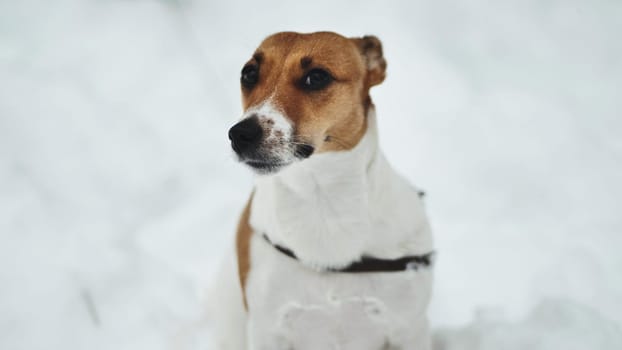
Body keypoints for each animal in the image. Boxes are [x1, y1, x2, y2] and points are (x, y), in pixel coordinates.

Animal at [210, 31, 434, 348]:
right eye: (249, 74)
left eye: (316, 77)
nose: (240, 134)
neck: (322, 202)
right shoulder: (267, 329)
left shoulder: (409, 328)